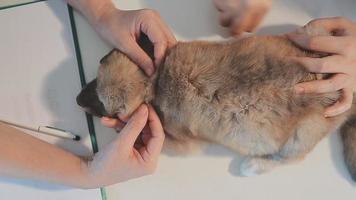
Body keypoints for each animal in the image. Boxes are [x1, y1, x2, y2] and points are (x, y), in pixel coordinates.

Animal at [76, 25, 354, 180]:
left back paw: (253, 166)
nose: (77, 99)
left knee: (289, 159)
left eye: (103, 107)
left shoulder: (177, 142)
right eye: (100, 63)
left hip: (300, 137)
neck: (155, 82)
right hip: (311, 33)